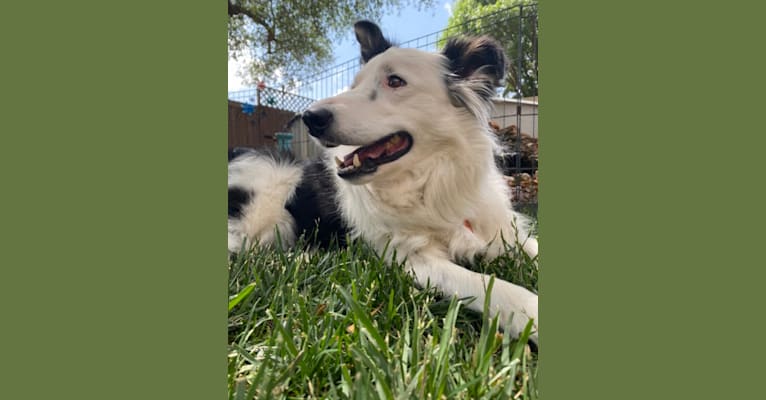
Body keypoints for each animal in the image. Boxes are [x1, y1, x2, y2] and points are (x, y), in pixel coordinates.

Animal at [228, 19, 540, 344]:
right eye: (355, 85)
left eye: (395, 81)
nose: (310, 117)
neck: (429, 182)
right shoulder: (413, 259)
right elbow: (493, 286)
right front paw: (533, 313)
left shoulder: (503, 232)